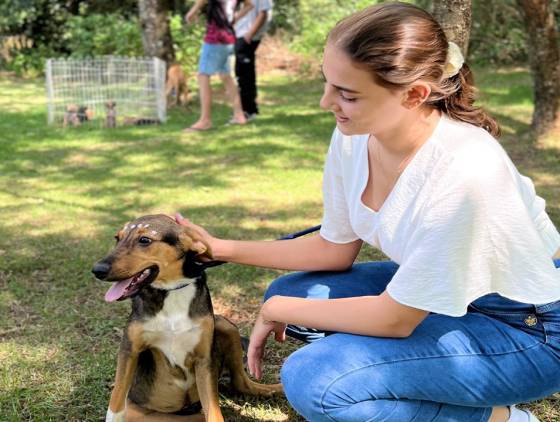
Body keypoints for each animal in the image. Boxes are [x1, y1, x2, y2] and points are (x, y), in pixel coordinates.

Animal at [94, 216, 284, 420]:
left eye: (144, 240)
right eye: (117, 238)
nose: (97, 270)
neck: (170, 290)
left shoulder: (204, 361)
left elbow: (214, 413)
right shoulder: (129, 350)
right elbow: (116, 400)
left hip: (225, 324)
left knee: (242, 383)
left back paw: (276, 389)